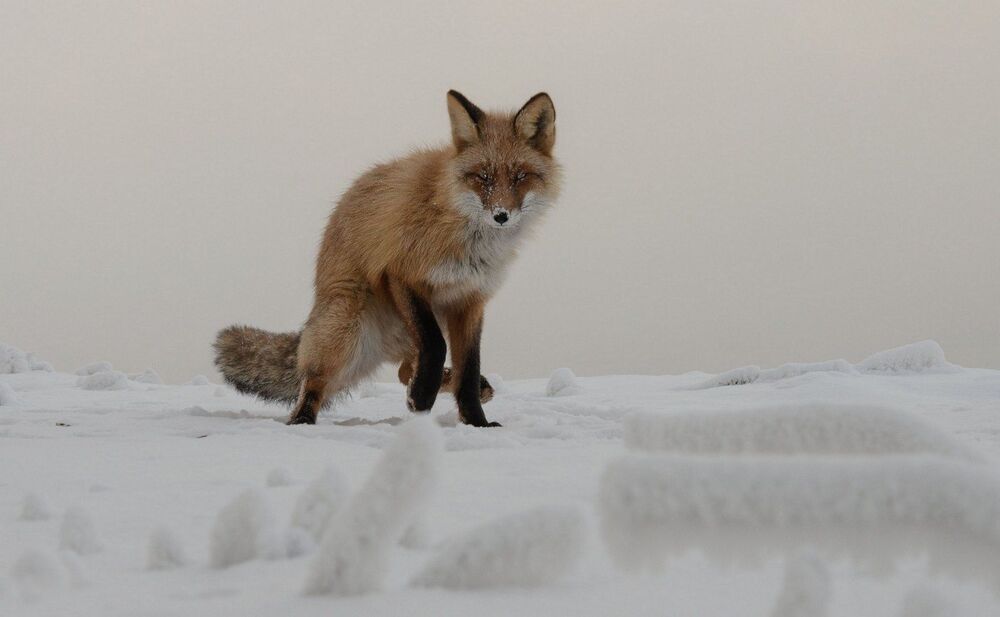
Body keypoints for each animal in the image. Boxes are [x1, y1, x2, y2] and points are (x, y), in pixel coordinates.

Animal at [214, 91, 560, 426]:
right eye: (482, 177)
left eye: (520, 176)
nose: (501, 215)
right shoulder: (401, 274)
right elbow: (436, 345)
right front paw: (422, 397)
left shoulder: (469, 300)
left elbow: (469, 370)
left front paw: (476, 423)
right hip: (346, 328)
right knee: (312, 380)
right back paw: (302, 420)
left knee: (404, 370)